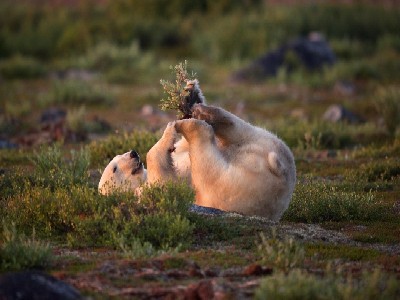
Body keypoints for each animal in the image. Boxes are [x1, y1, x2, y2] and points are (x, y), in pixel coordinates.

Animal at [98, 82, 296, 220]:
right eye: (114, 168)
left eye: (118, 156)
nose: (133, 153)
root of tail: (279, 170)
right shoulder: (147, 194)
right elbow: (165, 181)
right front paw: (169, 131)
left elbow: (179, 151)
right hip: (236, 187)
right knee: (208, 167)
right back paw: (194, 124)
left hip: (264, 141)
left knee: (239, 131)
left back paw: (196, 106)